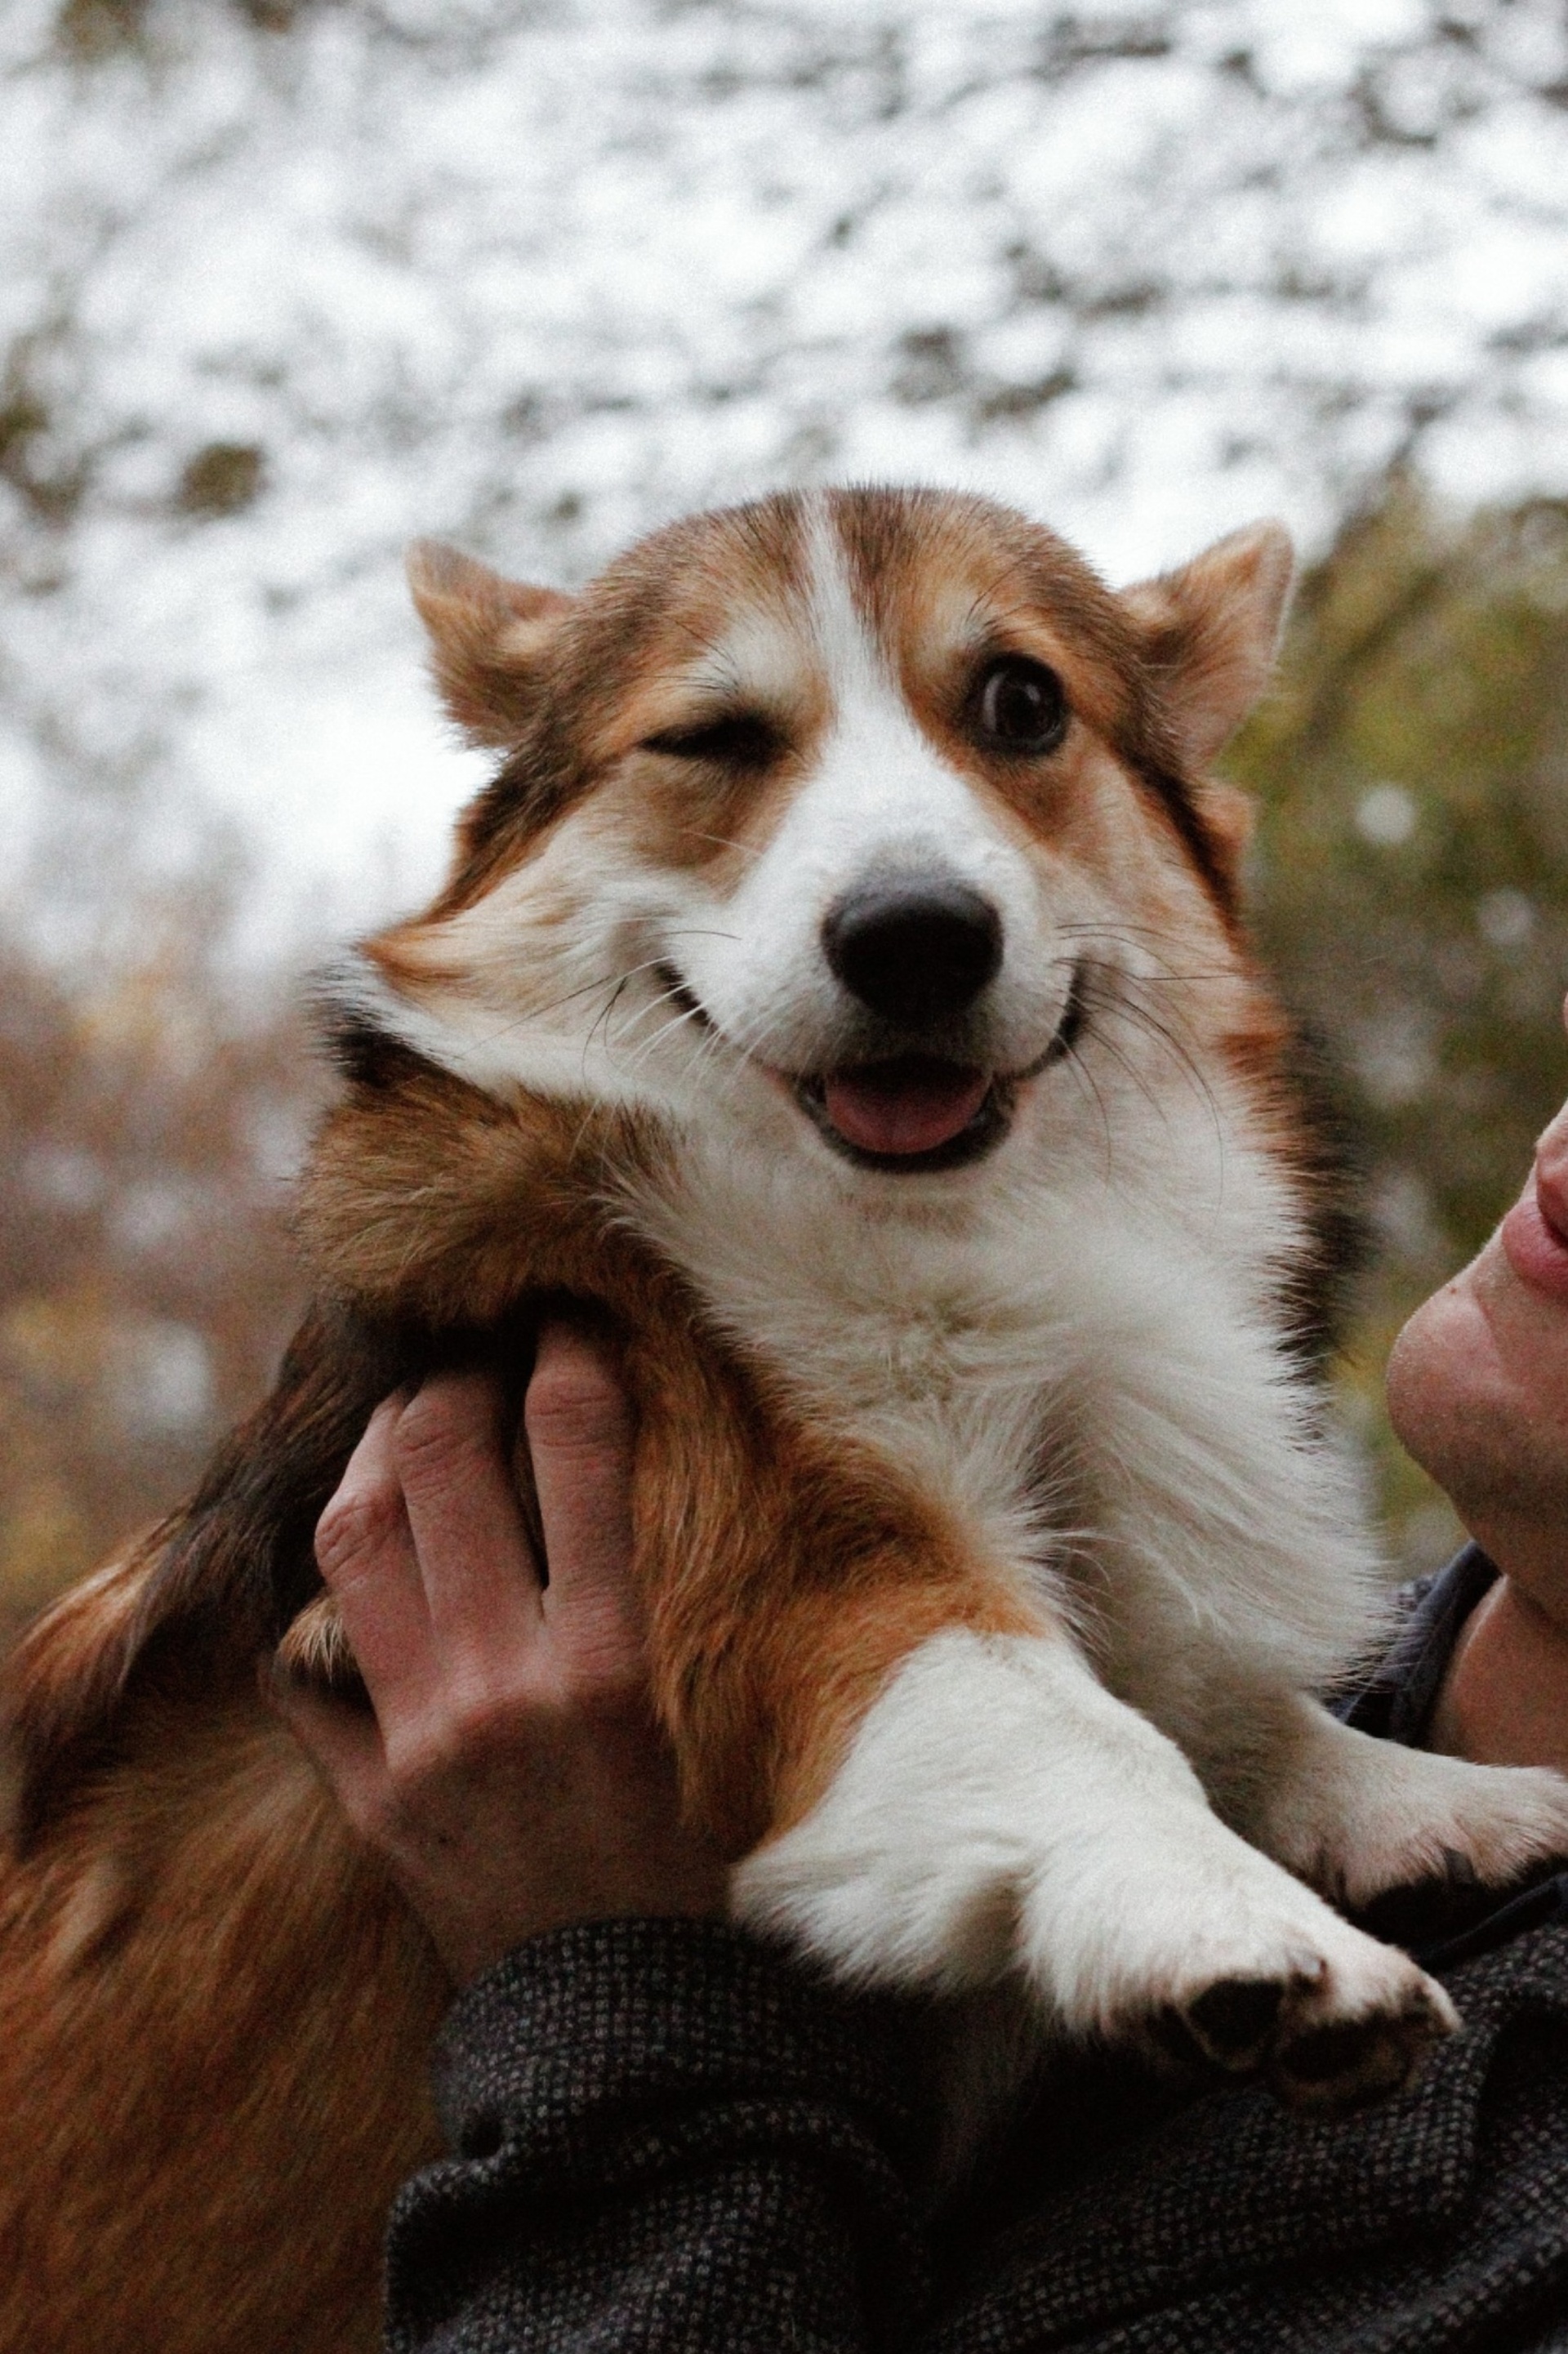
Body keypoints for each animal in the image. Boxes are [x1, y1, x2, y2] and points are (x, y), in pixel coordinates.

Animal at [2, 487, 1563, 2354]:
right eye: (716, 738)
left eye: (1021, 704)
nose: (915, 936)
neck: (936, 1237)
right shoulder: (765, 1538)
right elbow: (1053, 1709)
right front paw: (1229, 1915)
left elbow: (1216, 1698)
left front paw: (1425, 1797)